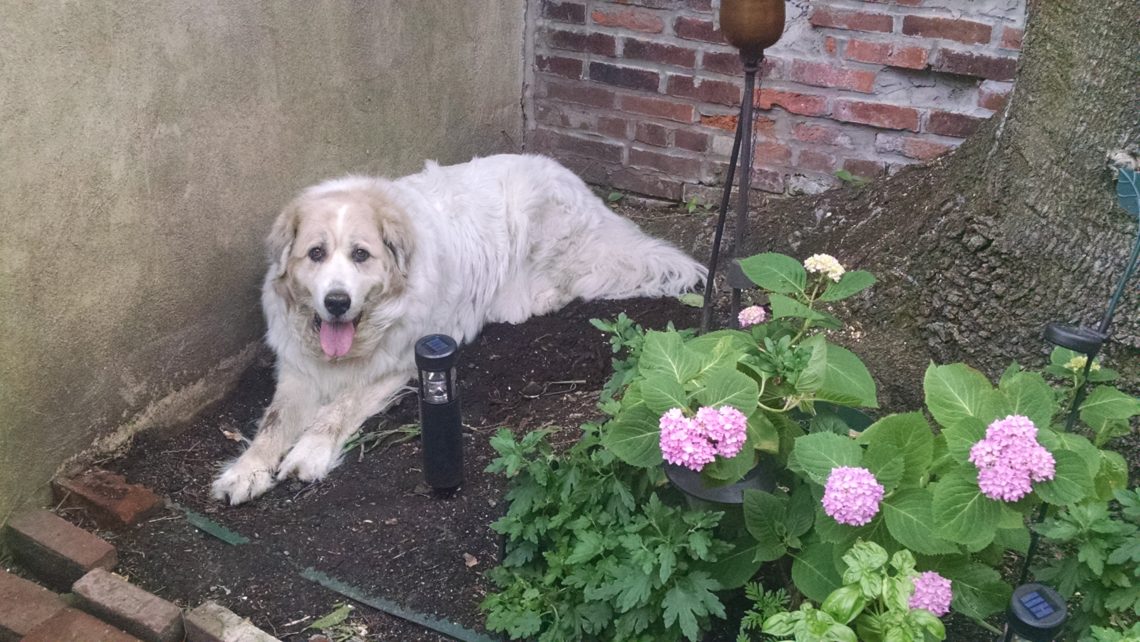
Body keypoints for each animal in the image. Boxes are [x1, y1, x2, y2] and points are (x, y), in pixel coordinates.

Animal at [209, 152, 697, 504]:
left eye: (361, 255)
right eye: (315, 254)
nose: (337, 302)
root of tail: (582, 189)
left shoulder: (398, 363)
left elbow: (338, 409)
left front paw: (308, 453)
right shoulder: (298, 369)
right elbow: (273, 422)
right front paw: (246, 470)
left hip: (538, 218)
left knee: (568, 280)